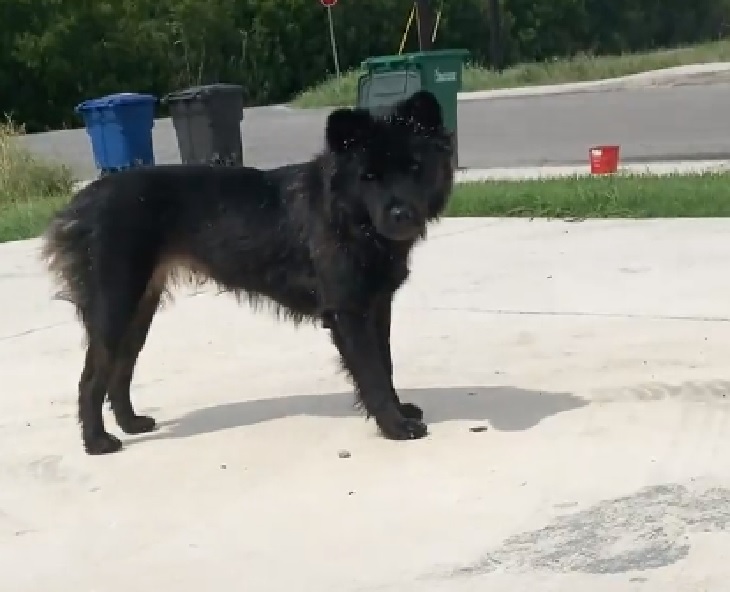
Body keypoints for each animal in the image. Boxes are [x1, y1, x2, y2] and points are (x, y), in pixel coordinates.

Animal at [41, 90, 456, 456]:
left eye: (415, 168)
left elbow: (385, 364)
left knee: (120, 369)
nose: (402, 216)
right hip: (114, 306)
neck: (349, 219)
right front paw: (395, 426)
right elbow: (371, 373)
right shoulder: (348, 311)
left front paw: (400, 411)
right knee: (91, 379)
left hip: (139, 308)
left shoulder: (377, 305)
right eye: (368, 176)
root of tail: (79, 203)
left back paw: (131, 424)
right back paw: (97, 442)